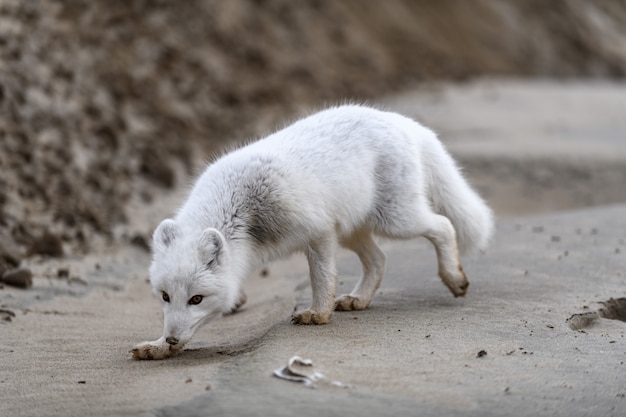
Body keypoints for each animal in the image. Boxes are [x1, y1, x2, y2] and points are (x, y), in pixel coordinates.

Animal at [130, 103, 492, 358]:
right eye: (164, 296)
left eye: (196, 298)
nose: (172, 338)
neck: (242, 208)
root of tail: (399, 120)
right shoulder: (326, 233)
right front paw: (158, 347)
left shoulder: (317, 230)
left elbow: (322, 277)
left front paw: (318, 314)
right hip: (353, 230)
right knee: (379, 259)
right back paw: (359, 299)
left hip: (396, 219)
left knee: (443, 226)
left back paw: (454, 278)